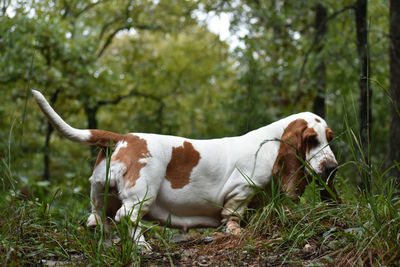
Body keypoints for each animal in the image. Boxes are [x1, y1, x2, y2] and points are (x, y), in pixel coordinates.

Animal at [32, 90, 338, 251]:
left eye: (330, 138)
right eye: (311, 140)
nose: (332, 167)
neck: (272, 143)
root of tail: (122, 138)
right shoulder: (241, 190)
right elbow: (233, 215)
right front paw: (235, 232)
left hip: (101, 193)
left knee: (98, 219)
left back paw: (109, 245)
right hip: (143, 193)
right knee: (126, 217)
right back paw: (142, 246)